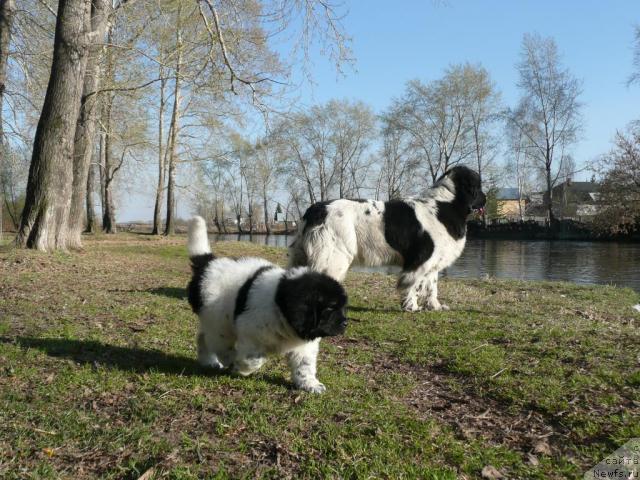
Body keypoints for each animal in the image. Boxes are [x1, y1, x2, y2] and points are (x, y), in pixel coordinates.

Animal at [186, 216, 344, 392]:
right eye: (330, 308)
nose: (344, 323)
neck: (279, 307)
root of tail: (209, 264)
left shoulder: (303, 345)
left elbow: (305, 365)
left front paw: (310, 383)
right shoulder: (250, 333)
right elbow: (254, 359)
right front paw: (241, 368)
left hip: (213, 321)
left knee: (203, 337)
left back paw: (208, 361)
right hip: (219, 323)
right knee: (220, 344)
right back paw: (227, 360)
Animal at [288, 167, 484, 314]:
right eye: (479, 186)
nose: (486, 199)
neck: (446, 203)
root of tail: (315, 210)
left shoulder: (433, 260)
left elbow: (431, 286)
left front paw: (434, 306)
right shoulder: (420, 259)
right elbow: (414, 284)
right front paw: (412, 307)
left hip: (303, 255)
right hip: (335, 256)